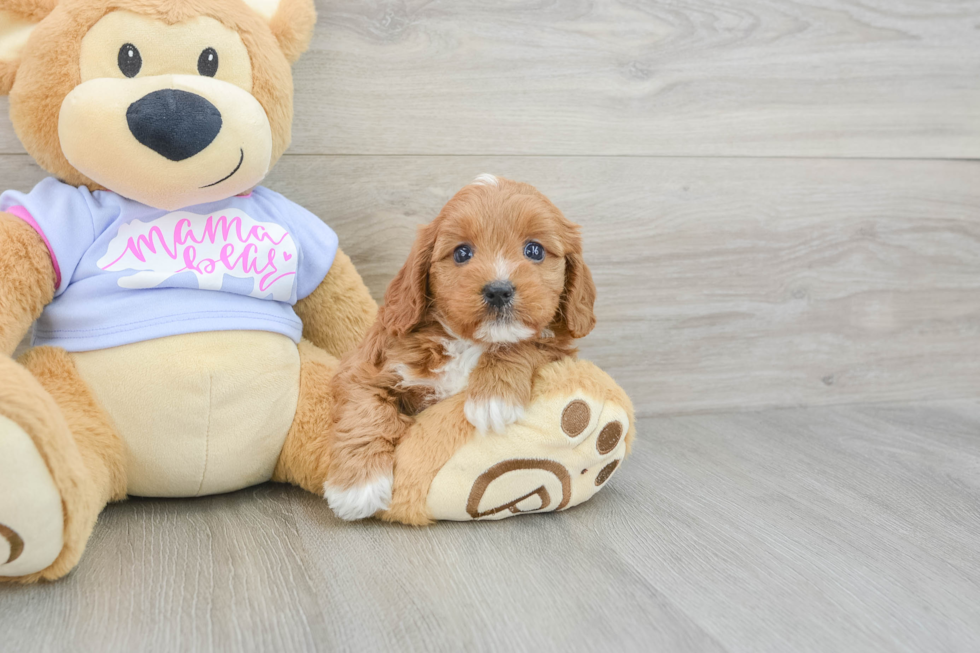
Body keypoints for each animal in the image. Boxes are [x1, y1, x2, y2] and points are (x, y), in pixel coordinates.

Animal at [324, 173, 596, 520]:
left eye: (534, 250)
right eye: (462, 253)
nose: (498, 290)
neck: (468, 343)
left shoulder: (557, 349)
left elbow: (523, 343)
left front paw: (493, 397)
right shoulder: (364, 367)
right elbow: (365, 411)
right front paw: (358, 487)